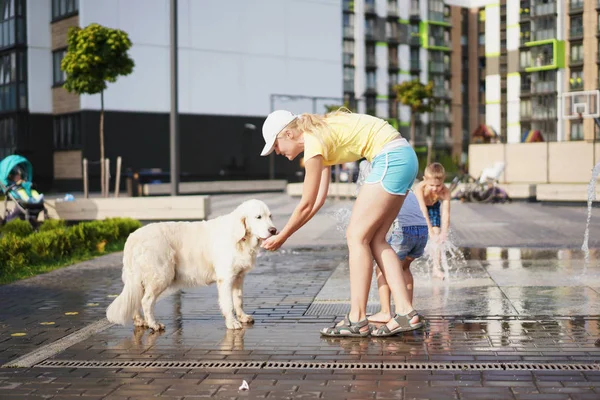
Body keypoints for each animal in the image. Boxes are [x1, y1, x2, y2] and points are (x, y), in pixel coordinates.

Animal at [106, 200, 276, 332]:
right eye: (258, 217)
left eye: (270, 216)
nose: (274, 230)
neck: (240, 237)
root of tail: (133, 237)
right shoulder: (226, 277)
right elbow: (228, 303)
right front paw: (232, 323)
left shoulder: (239, 276)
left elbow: (238, 300)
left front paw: (243, 317)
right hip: (161, 275)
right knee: (146, 301)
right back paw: (153, 324)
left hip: (139, 278)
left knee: (136, 299)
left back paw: (140, 321)